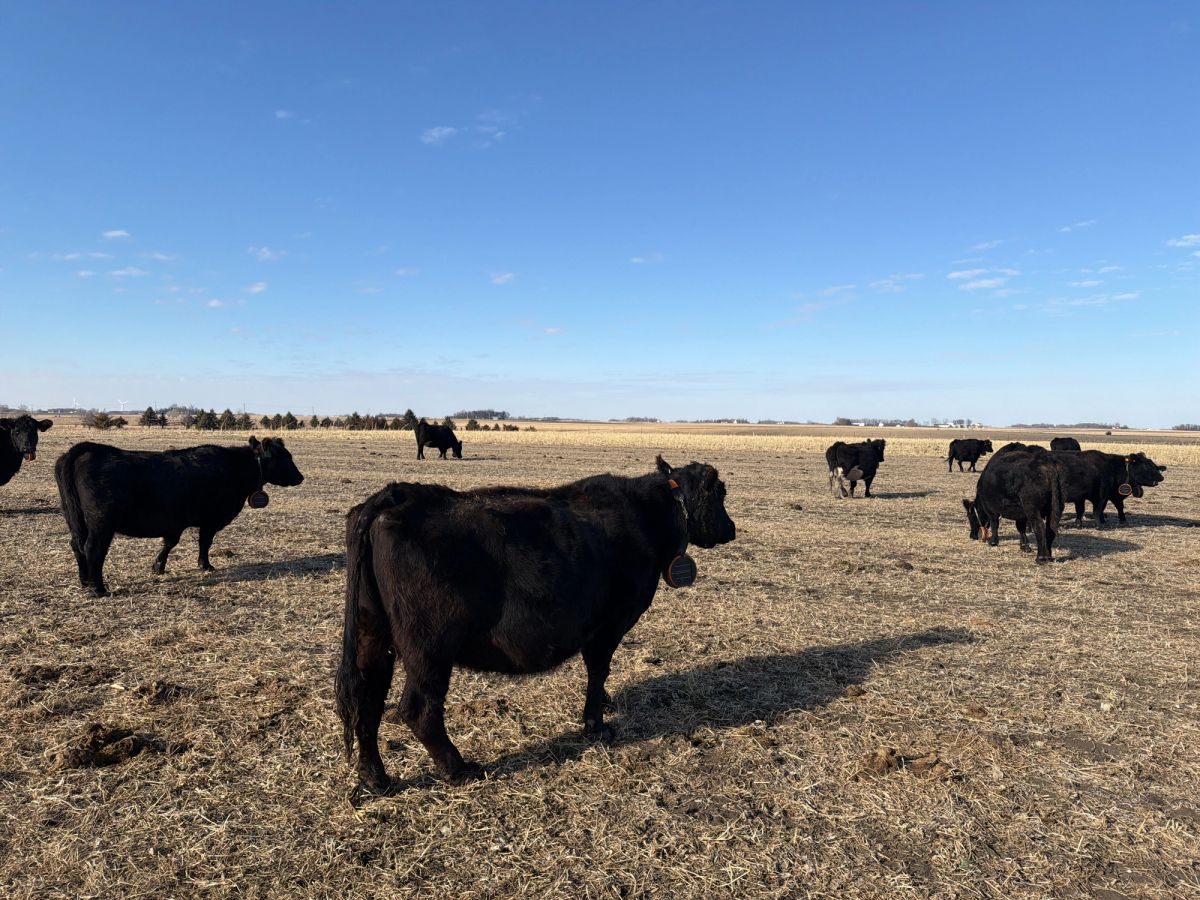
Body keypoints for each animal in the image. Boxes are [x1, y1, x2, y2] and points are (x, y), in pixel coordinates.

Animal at [55, 436, 304, 596]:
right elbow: (204, 542)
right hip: (101, 523)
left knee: (76, 545)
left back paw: (85, 582)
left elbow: (170, 543)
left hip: (74, 518)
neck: (234, 468)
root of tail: (91, 449)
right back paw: (99, 589)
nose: (300, 477)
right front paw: (205, 565)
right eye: (284, 457)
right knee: (92, 549)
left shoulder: (176, 523)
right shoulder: (210, 519)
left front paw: (158, 566)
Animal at [335, 455, 737, 794]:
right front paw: (596, 724)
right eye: (721, 493)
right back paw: (459, 769)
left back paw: (376, 780)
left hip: (373, 635)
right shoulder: (609, 625)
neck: (647, 516)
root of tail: (397, 495)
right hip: (429, 645)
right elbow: (598, 670)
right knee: (419, 708)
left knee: (366, 701)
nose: (732, 529)